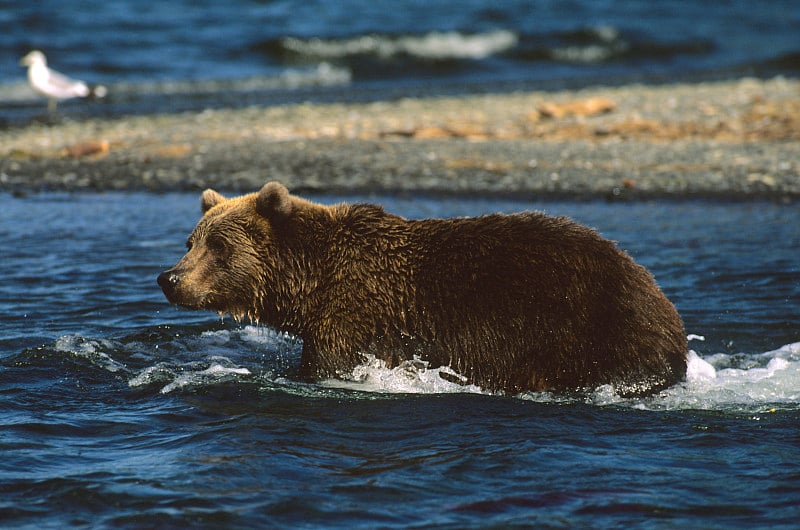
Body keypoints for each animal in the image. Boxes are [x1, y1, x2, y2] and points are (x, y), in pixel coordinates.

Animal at [158, 180, 688, 392]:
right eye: (191, 240)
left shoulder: (352, 317)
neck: (309, 283)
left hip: (590, 324)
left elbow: (330, 367)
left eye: (219, 246)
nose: (170, 279)